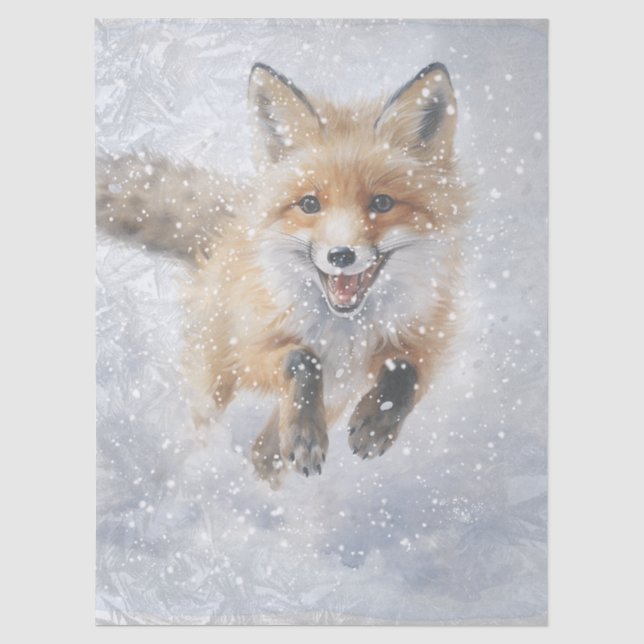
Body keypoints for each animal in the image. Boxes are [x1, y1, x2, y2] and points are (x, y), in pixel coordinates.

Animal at [96, 61, 468, 488]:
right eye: (309, 204)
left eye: (382, 203)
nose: (341, 255)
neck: (342, 331)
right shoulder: (250, 350)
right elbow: (301, 359)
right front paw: (307, 432)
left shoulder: (420, 341)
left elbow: (406, 369)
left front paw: (377, 421)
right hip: (212, 376)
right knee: (206, 427)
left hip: (330, 399)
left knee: (263, 453)